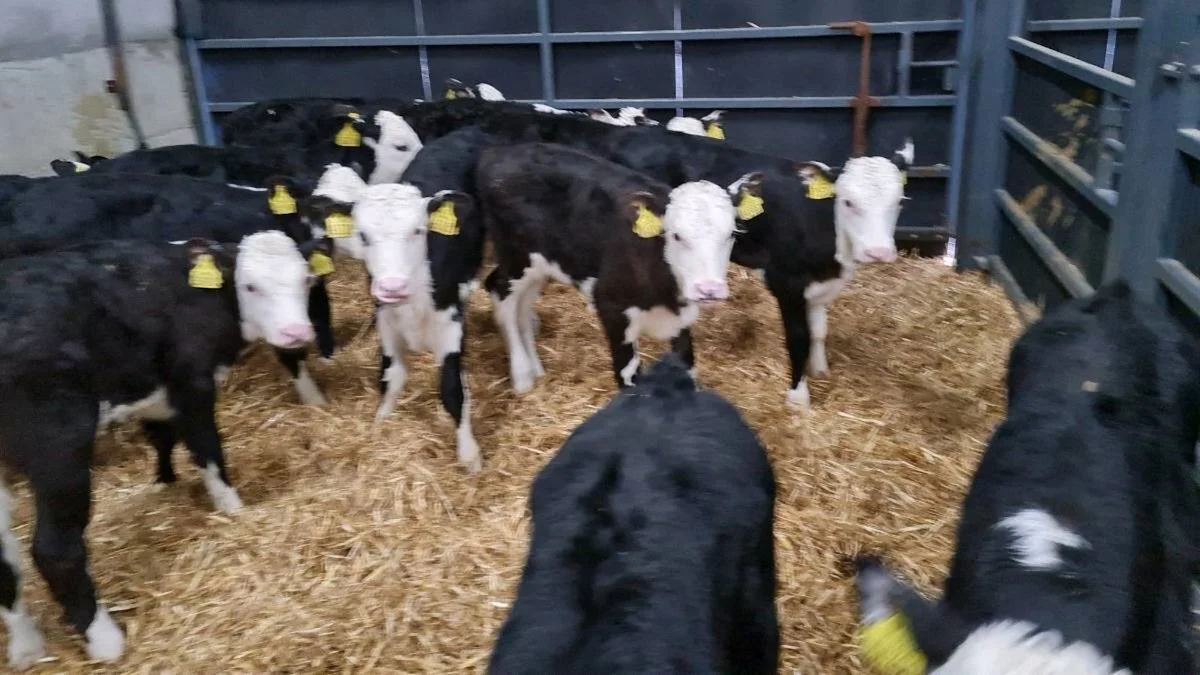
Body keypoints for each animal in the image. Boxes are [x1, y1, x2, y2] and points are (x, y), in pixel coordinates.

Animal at [0, 232, 326, 665]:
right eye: (250, 286)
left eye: (306, 279)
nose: (295, 333)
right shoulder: (193, 382)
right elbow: (208, 451)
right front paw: (233, 510)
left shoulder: (156, 393)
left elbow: (161, 438)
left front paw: (164, 483)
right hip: (58, 447)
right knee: (56, 551)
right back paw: (106, 642)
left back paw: (27, 648)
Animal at [305, 126, 498, 473]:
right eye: (363, 235)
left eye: (418, 231)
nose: (392, 286)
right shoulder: (386, 321)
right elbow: (390, 377)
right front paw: (381, 422)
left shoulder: (450, 323)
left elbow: (452, 389)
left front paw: (469, 455)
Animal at [477, 142, 755, 392]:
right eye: (676, 235)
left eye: (732, 233)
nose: (709, 290)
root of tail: (499, 152)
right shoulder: (612, 310)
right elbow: (628, 379)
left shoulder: (682, 320)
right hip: (516, 257)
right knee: (500, 292)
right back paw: (522, 375)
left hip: (542, 265)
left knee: (522, 305)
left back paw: (536, 369)